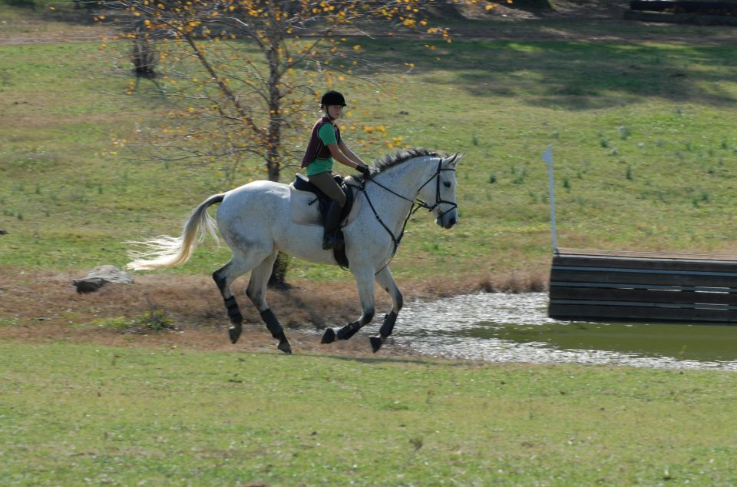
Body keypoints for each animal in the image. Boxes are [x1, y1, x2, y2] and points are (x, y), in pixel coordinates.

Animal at [126, 147, 463, 354]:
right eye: (447, 183)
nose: (451, 221)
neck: (382, 201)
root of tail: (228, 195)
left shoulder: (379, 267)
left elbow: (398, 300)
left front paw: (379, 339)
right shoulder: (363, 268)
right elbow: (367, 311)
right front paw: (334, 334)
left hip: (267, 255)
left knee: (255, 292)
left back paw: (282, 339)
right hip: (252, 253)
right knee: (221, 277)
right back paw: (236, 325)